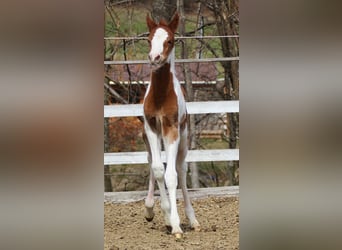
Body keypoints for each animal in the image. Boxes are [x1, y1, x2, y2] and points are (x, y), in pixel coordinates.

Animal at [142, 13, 200, 238]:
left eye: (170, 41)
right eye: (149, 39)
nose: (155, 58)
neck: (160, 96)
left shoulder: (172, 131)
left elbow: (172, 175)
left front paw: (175, 225)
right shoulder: (151, 129)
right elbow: (158, 169)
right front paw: (164, 214)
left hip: (182, 140)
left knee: (181, 170)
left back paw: (192, 220)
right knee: (152, 161)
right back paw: (151, 209)